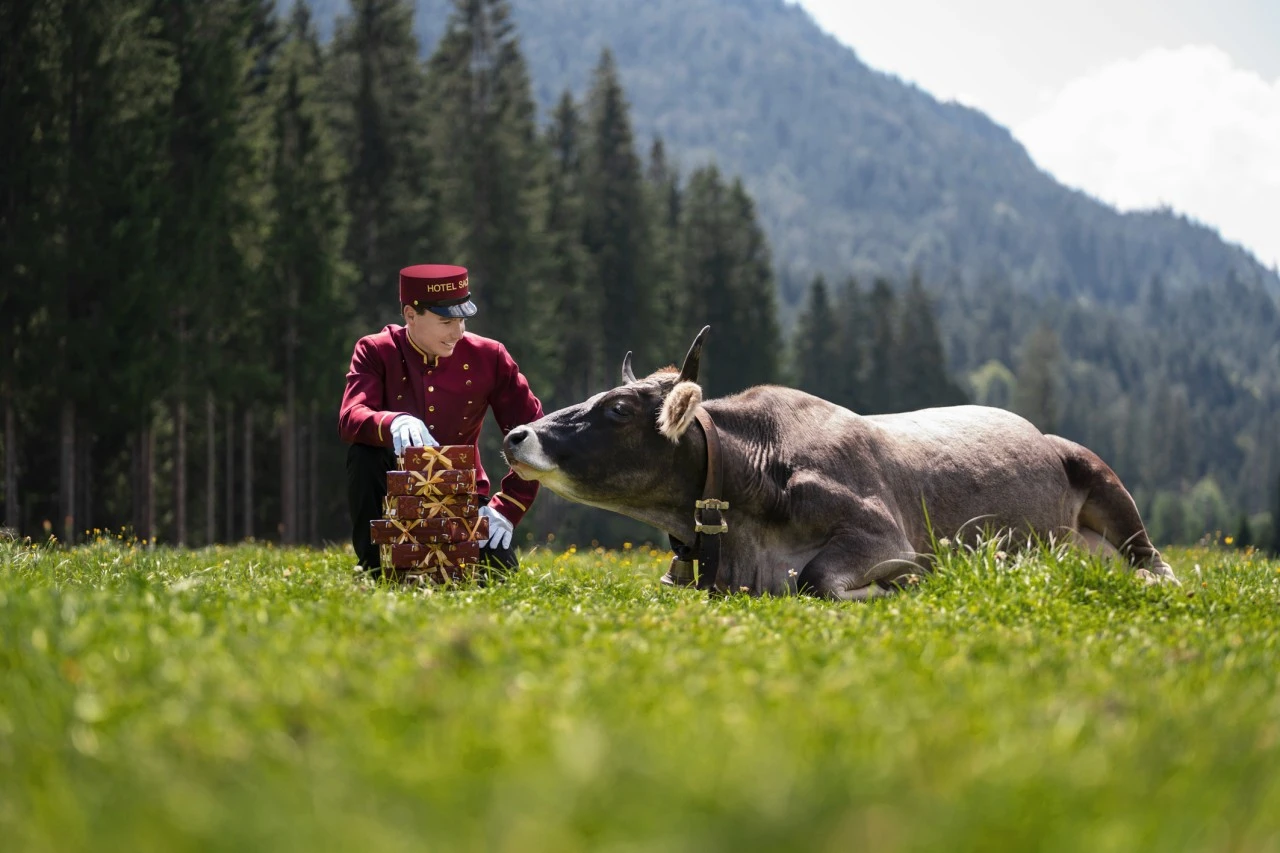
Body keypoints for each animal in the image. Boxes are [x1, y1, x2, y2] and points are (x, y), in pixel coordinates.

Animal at [503, 327, 1178, 599]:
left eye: (617, 409)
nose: (516, 434)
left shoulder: (884, 534)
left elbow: (816, 579)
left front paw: (903, 586)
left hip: (1102, 478)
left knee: (1155, 561)